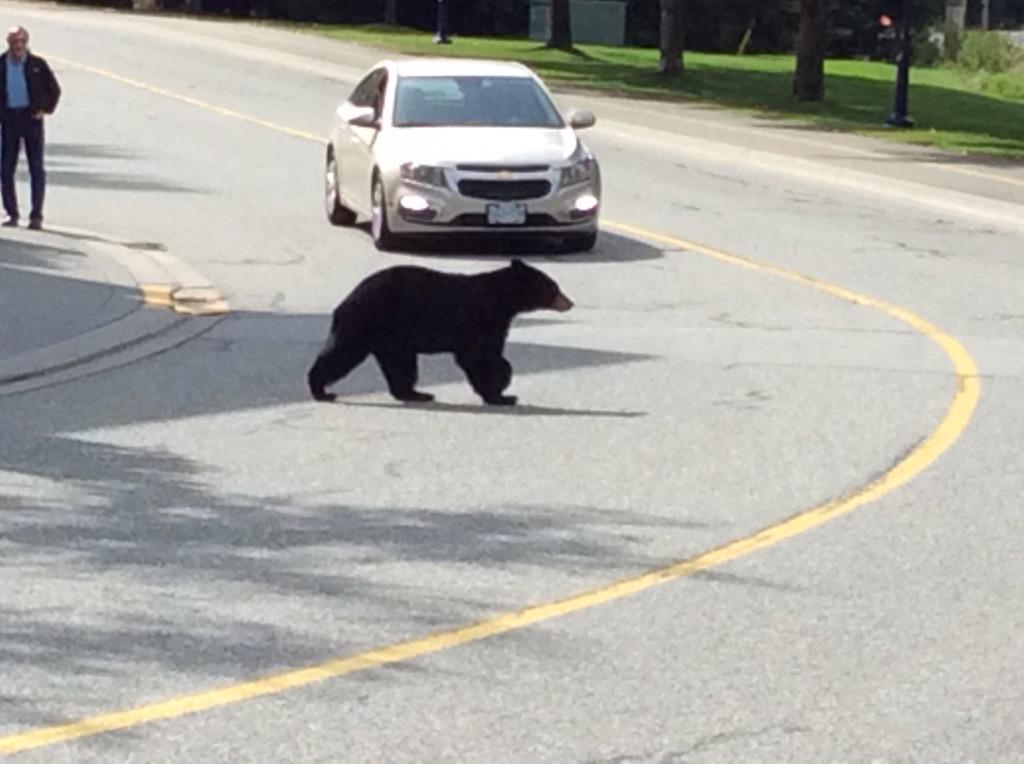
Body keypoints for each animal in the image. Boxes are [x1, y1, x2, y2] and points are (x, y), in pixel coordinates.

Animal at [307, 259, 573, 405]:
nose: (570, 302)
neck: (502, 299)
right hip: (366, 322)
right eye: (555, 287)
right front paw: (501, 393)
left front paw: (501, 391)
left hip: (394, 338)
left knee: (401, 366)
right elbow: (480, 356)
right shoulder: (480, 318)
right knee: (342, 353)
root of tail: (346, 299)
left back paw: (416, 393)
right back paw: (320, 390)